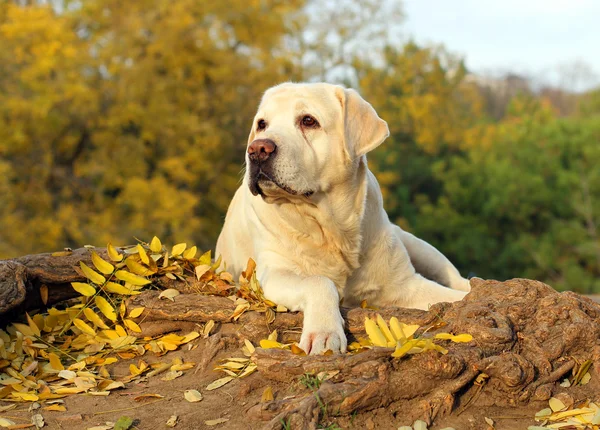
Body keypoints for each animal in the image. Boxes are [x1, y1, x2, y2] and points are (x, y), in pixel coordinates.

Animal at [214, 82, 468, 354]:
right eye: (262, 124)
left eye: (308, 121)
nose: (257, 149)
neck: (331, 228)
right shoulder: (272, 274)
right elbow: (319, 281)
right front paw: (324, 334)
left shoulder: (406, 284)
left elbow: (451, 296)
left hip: (420, 246)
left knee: (457, 278)